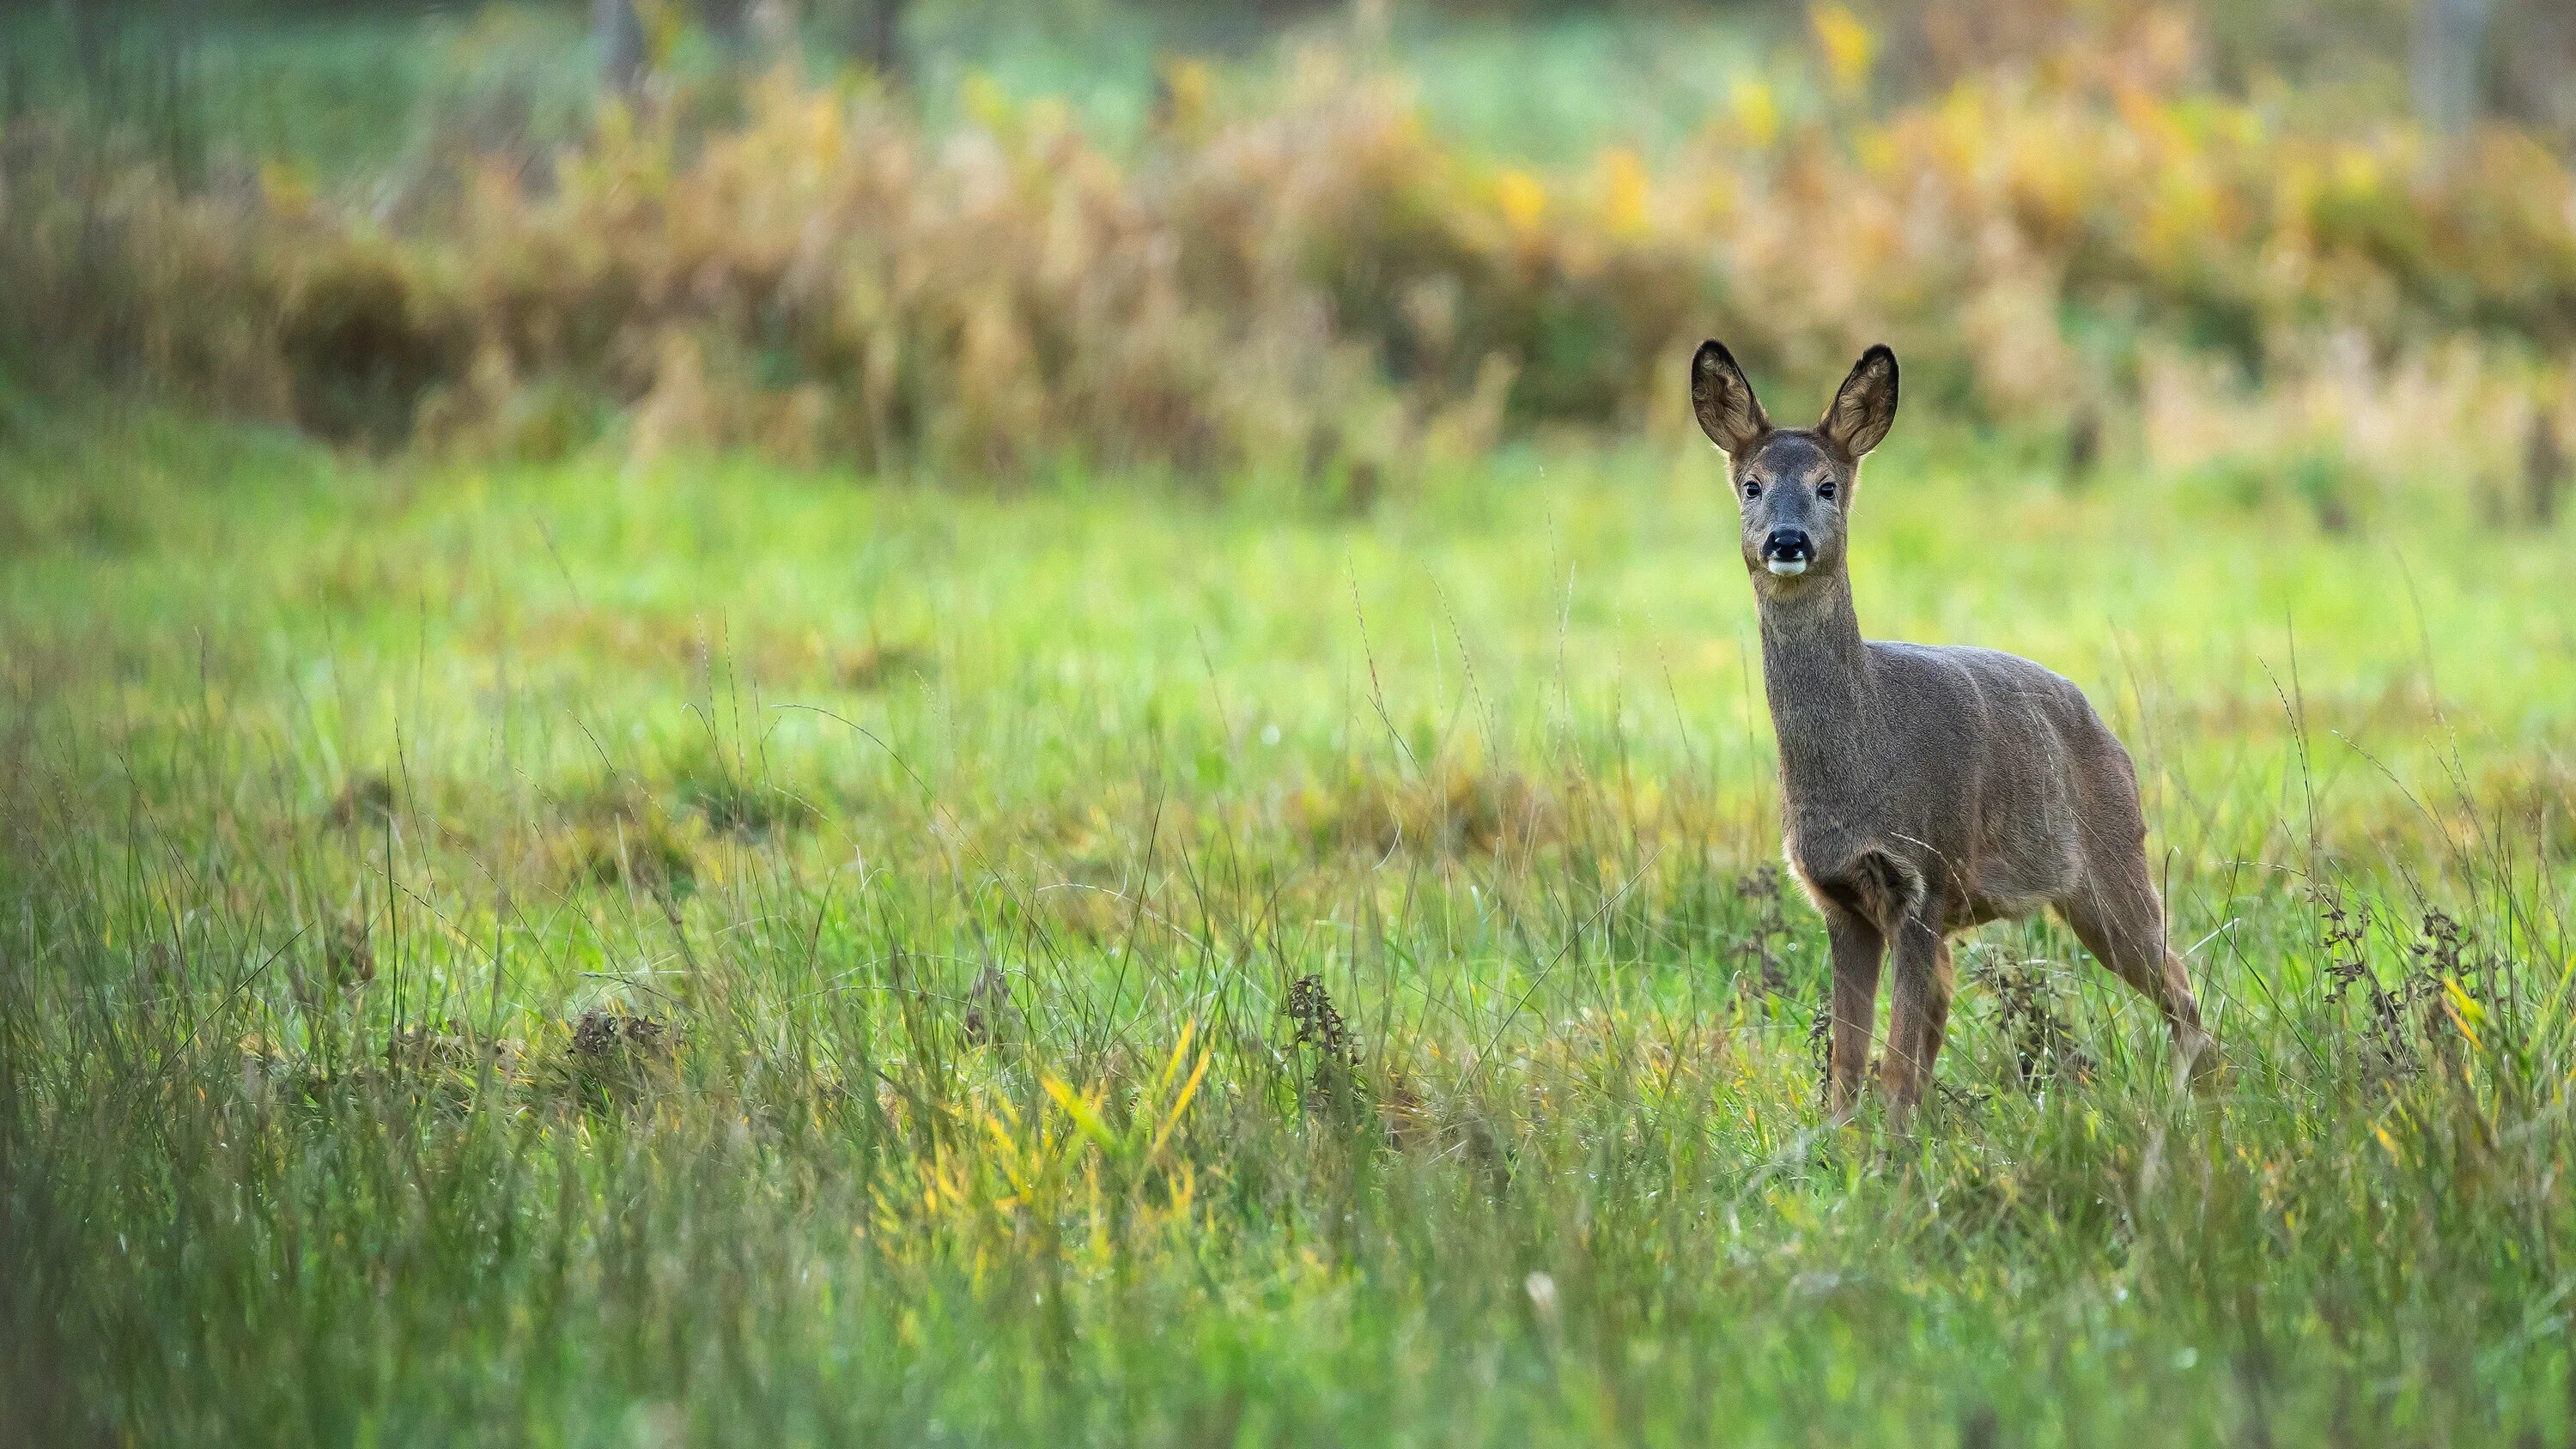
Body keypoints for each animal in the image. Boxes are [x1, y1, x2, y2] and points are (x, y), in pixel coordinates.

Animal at [1690, 342, 2215, 1132]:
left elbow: (1896, 1063)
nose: (1787, 541)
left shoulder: (1925, 878)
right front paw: (1840, 1142)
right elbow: (1849, 1063)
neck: (1862, 760)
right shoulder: (1838, 897)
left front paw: (1889, 1149)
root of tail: (2108, 734)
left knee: (2183, 991)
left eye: (1827, 486)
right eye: (1751, 486)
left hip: (2112, 866)